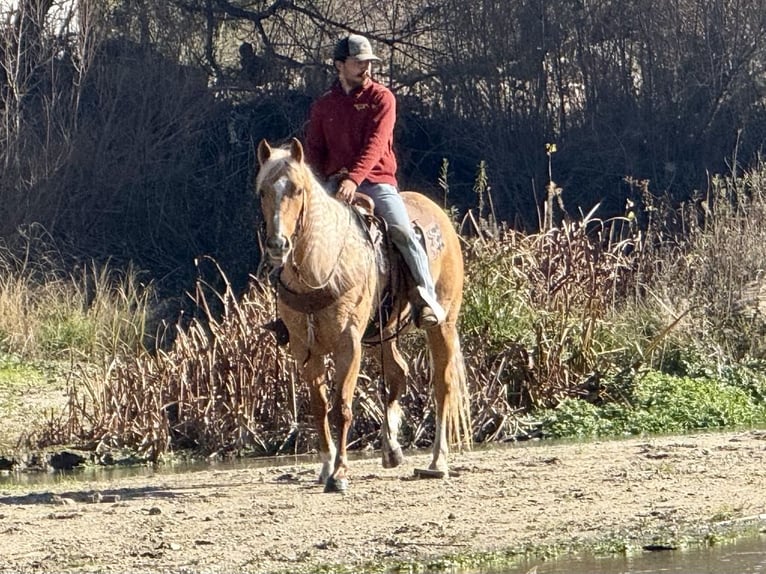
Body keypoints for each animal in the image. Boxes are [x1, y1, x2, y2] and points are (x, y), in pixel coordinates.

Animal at [256, 137, 468, 492]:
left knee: (443, 385)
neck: (320, 266)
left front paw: (340, 473)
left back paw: (437, 462)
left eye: (297, 189)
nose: (277, 244)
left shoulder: (349, 344)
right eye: (262, 191)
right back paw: (392, 450)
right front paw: (326, 466)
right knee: (397, 373)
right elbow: (319, 408)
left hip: (443, 325)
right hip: (383, 333)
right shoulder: (305, 349)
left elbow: (341, 408)